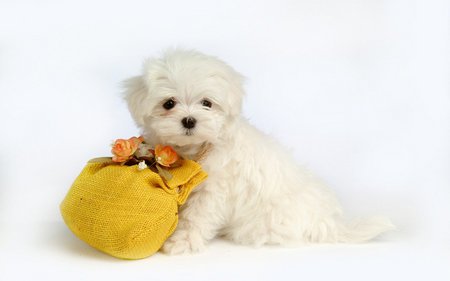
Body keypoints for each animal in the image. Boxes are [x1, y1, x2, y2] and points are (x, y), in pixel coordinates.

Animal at [123, 48, 394, 254]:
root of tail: (326, 221)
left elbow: (196, 217)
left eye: (207, 103)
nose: (189, 120)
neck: (196, 149)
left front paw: (181, 242)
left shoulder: (213, 191)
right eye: (169, 104)